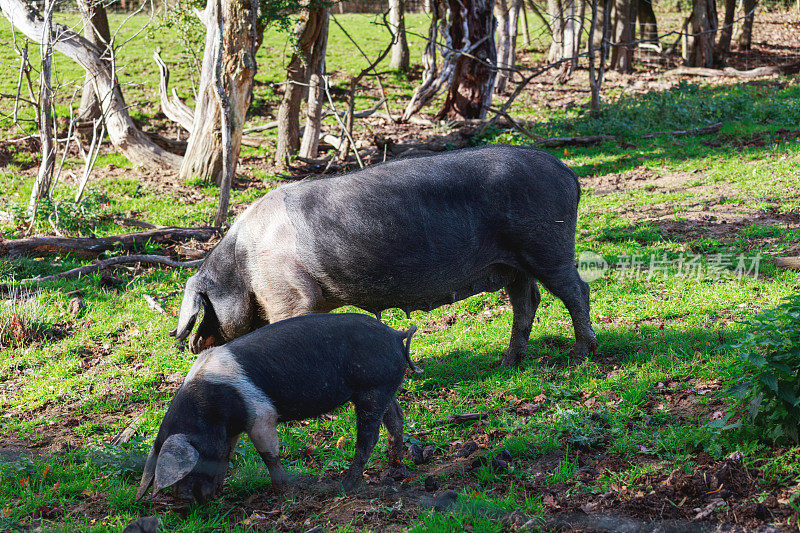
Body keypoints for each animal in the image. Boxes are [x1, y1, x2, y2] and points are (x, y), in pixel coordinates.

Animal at [136, 310, 418, 500]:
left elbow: (268, 454)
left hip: (373, 388)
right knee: (396, 418)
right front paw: (219, 491)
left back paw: (345, 486)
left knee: (369, 436)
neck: (212, 405)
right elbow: (226, 455)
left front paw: (284, 492)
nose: (181, 502)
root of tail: (396, 334)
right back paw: (394, 467)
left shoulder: (261, 415)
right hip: (384, 387)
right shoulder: (232, 428)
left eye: (195, 461)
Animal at [177, 143, 600, 364]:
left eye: (204, 306)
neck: (244, 266)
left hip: (547, 247)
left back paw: (581, 355)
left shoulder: (291, 295)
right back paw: (508, 360)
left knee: (577, 290)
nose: (193, 346)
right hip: (512, 263)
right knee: (528, 300)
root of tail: (566, 170)